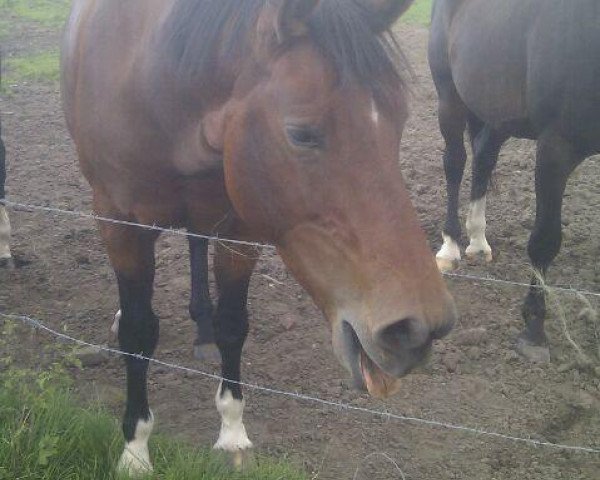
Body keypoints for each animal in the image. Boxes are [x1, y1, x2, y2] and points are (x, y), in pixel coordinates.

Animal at [62, 0, 454, 472]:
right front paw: (135, 450)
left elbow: (233, 325)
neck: (157, 83)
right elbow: (139, 334)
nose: (417, 329)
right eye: (301, 133)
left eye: (399, 121)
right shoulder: (122, 226)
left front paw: (232, 431)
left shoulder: (240, 230)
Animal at [428, 0, 596, 356]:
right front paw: (534, 326)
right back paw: (450, 247)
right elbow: (545, 240)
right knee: (455, 163)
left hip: (497, 112)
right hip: (450, 98)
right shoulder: (555, 146)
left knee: (483, 158)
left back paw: (478, 242)